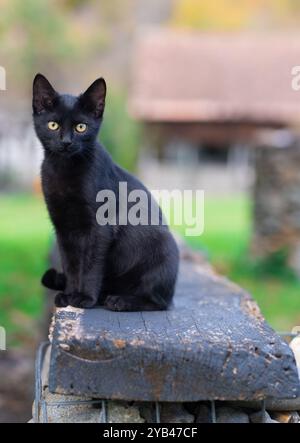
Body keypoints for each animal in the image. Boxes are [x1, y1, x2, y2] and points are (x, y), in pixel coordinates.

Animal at [33, 74, 178, 310]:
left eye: (81, 127)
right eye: (53, 125)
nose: (66, 142)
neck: (64, 170)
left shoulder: (99, 228)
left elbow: (91, 266)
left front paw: (85, 297)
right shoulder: (62, 228)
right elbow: (71, 265)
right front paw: (69, 294)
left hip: (164, 246)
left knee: (159, 301)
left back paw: (120, 300)